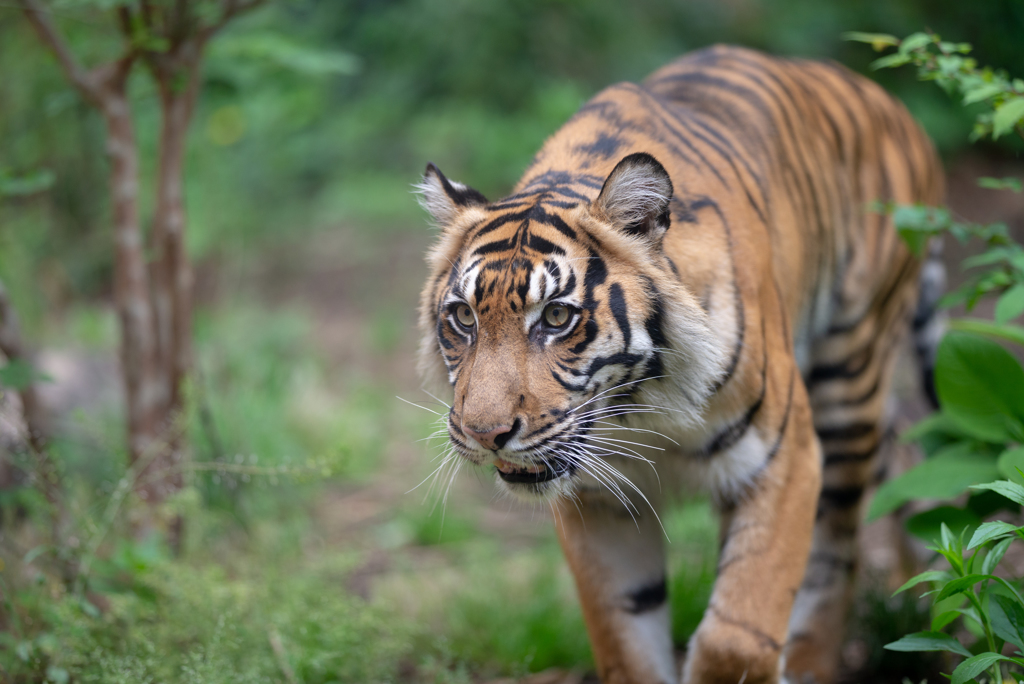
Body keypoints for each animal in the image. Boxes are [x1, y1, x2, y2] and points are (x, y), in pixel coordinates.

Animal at [413, 44, 942, 684]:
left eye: (557, 317)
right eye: (463, 318)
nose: (485, 435)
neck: (639, 407)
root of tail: (893, 104)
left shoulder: (785, 457)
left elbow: (738, 635)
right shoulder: (598, 501)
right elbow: (626, 638)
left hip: (848, 381)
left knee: (834, 554)